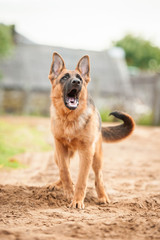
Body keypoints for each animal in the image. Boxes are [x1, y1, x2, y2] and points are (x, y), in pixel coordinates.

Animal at [47, 52, 135, 208]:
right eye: (64, 77)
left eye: (80, 78)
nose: (77, 82)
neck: (69, 120)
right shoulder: (60, 147)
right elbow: (65, 171)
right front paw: (68, 191)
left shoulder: (87, 151)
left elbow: (82, 179)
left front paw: (77, 201)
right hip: (57, 155)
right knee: (64, 169)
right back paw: (58, 184)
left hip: (96, 157)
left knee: (99, 177)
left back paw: (103, 197)